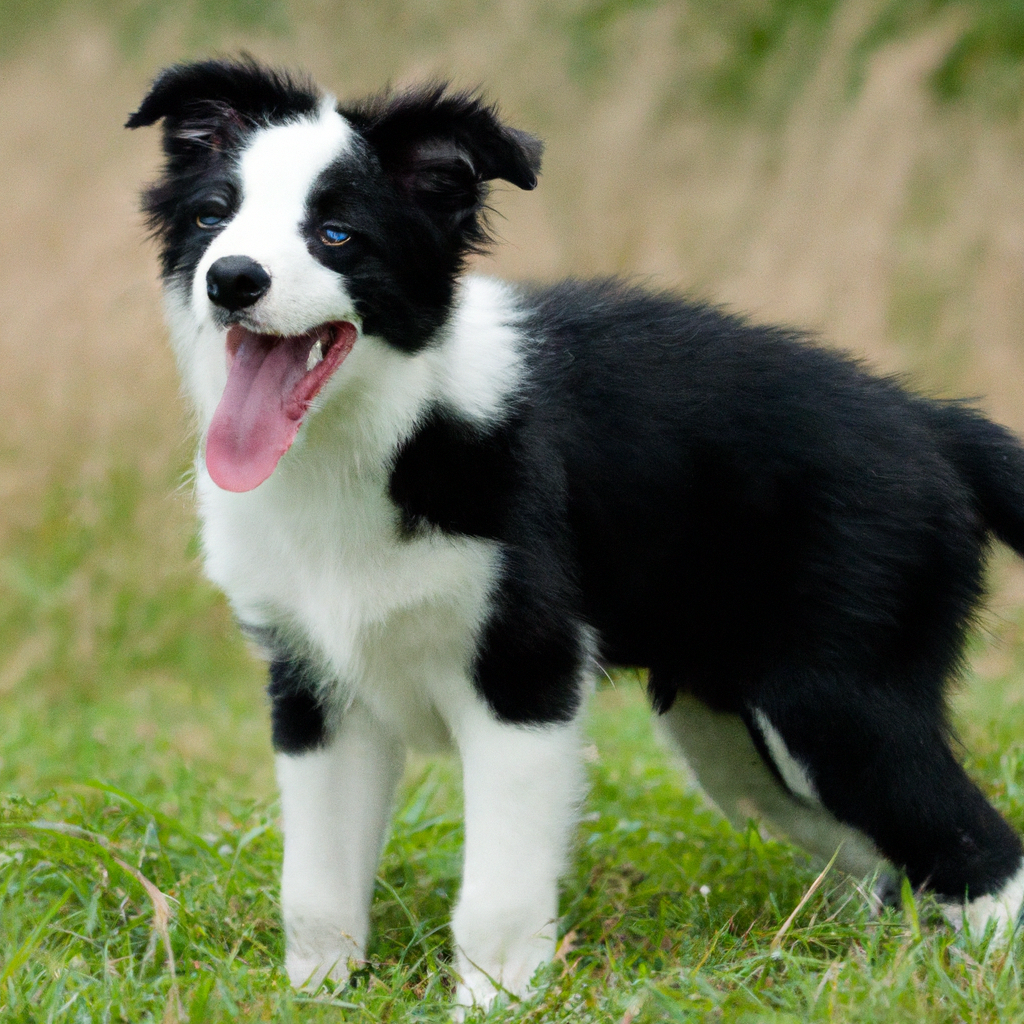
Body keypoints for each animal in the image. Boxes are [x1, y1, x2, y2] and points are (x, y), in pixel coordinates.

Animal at [128, 58, 1024, 1007]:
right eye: (212, 216)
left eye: (337, 235)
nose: (231, 279)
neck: (384, 436)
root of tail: (933, 424)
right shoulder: (316, 691)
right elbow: (316, 889)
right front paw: (319, 996)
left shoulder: (526, 680)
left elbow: (497, 894)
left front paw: (492, 1006)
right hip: (737, 741)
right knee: (886, 865)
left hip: (836, 702)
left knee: (982, 854)